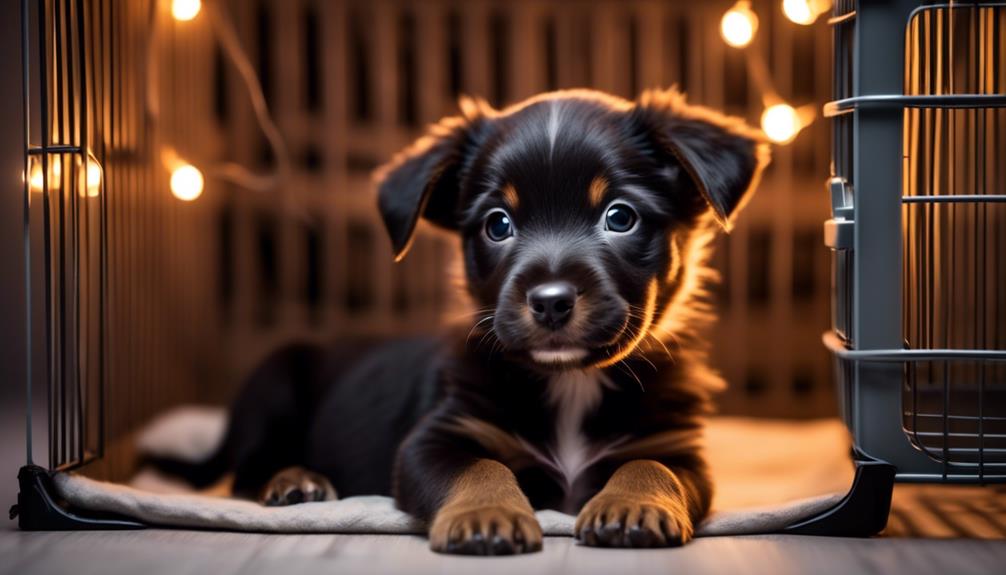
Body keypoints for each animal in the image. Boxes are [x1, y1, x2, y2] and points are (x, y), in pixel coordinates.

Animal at [154, 88, 768, 550]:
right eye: (497, 224)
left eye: (620, 217)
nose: (549, 301)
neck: (570, 383)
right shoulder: (434, 439)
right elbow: (478, 468)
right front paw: (486, 516)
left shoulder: (676, 447)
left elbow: (652, 468)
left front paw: (631, 505)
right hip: (274, 384)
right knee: (245, 472)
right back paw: (297, 481)